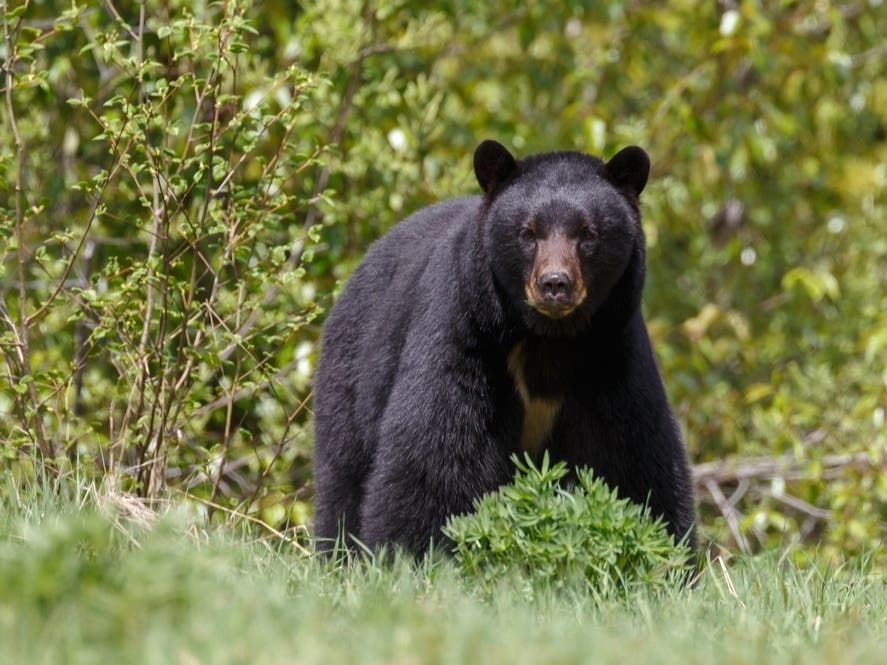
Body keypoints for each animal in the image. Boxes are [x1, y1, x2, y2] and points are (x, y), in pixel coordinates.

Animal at [316, 140, 696, 556]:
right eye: (528, 233)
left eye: (588, 234)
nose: (555, 284)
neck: (548, 338)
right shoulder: (466, 334)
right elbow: (437, 452)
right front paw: (410, 553)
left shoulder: (610, 353)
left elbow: (631, 456)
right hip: (353, 372)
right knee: (344, 474)